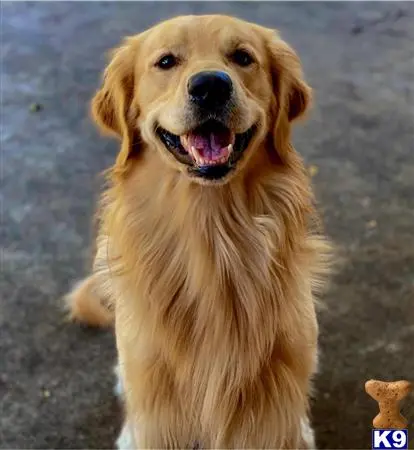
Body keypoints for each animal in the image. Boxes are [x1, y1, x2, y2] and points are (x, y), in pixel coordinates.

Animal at [65, 14, 330, 450]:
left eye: (243, 57)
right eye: (166, 61)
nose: (210, 86)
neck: (212, 232)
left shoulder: (274, 405)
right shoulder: (157, 409)